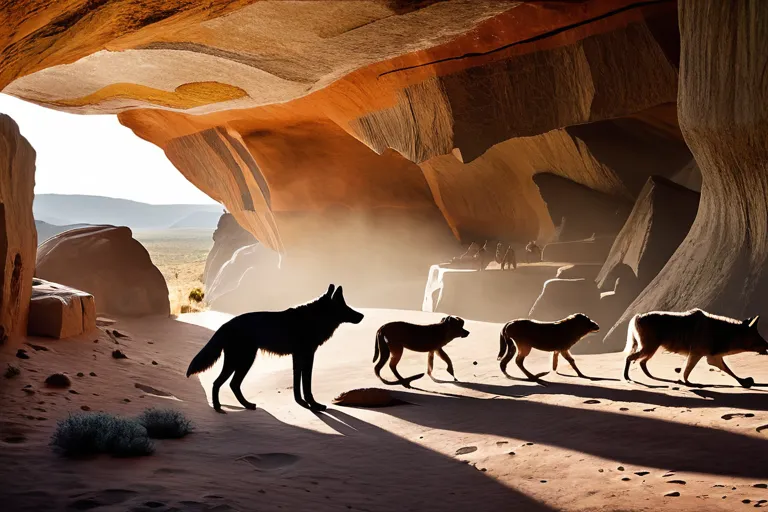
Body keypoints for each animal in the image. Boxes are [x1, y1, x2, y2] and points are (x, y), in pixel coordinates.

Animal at [186, 284, 364, 412]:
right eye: (345, 306)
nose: (362, 316)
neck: (314, 319)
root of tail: (225, 325)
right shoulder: (307, 356)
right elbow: (307, 385)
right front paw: (314, 405)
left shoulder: (297, 357)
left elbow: (297, 384)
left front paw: (302, 403)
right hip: (242, 361)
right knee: (220, 383)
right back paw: (218, 408)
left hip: (242, 362)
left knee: (232, 384)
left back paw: (247, 405)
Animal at [624, 309, 768, 388]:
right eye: (759, 340)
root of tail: (638, 316)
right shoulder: (696, 354)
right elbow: (686, 371)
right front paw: (689, 383)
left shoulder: (713, 357)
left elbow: (729, 370)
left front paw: (744, 382)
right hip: (649, 348)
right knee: (630, 358)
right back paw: (626, 377)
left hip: (651, 349)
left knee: (641, 362)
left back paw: (650, 376)